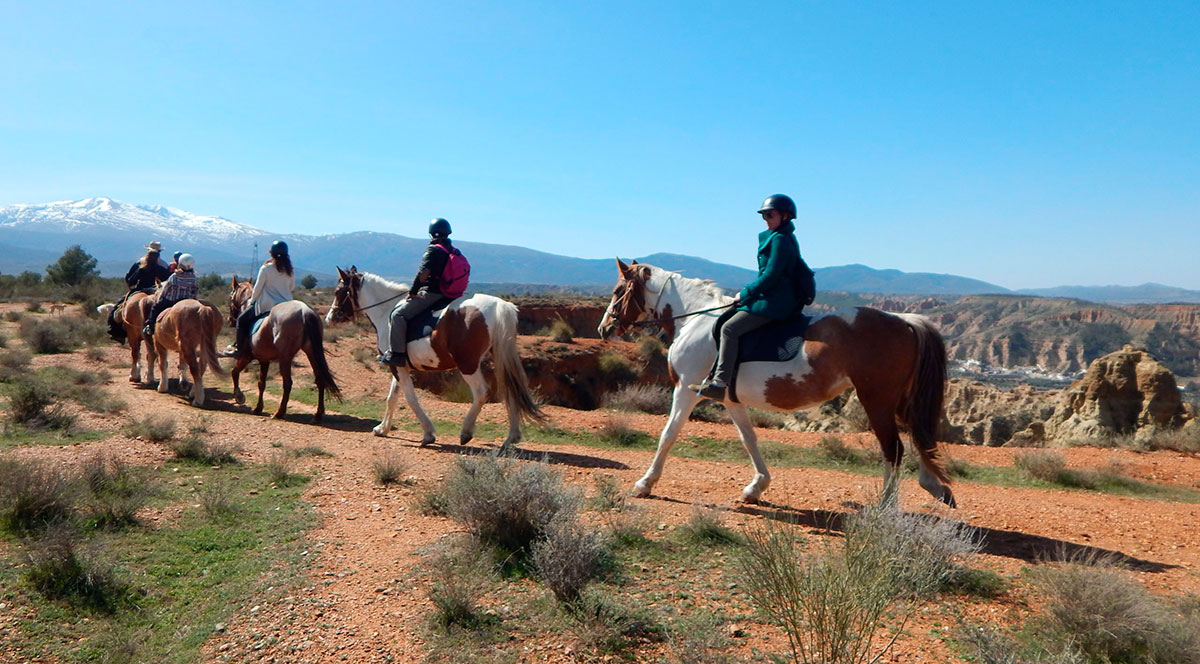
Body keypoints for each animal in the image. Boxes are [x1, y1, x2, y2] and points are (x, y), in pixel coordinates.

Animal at [228, 277, 343, 422]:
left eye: (230, 296)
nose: (230, 320)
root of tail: (304, 311)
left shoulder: (246, 356)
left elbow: (234, 372)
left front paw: (239, 396)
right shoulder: (264, 360)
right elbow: (261, 383)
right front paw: (258, 408)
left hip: (285, 358)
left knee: (287, 383)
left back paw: (279, 413)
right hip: (311, 353)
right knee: (320, 379)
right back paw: (317, 415)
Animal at [321, 264, 542, 451]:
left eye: (338, 292)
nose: (329, 318)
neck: (387, 312)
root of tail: (500, 305)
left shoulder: (397, 367)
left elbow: (410, 398)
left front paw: (428, 433)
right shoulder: (398, 365)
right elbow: (392, 397)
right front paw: (382, 429)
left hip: (467, 364)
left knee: (481, 392)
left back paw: (466, 432)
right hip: (499, 358)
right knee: (510, 390)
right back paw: (511, 437)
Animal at [600, 259, 955, 506]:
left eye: (617, 292)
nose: (604, 328)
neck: (696, 319)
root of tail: (905, 321)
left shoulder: (685, 390)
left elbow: (668, 435)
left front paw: (645, 483)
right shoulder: (729, 399)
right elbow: (749, 440)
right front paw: (755, 488)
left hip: (877, 400)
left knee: (893, 449)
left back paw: (885, 507)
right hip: (900, 400)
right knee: (921, 437)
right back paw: (935, 487)